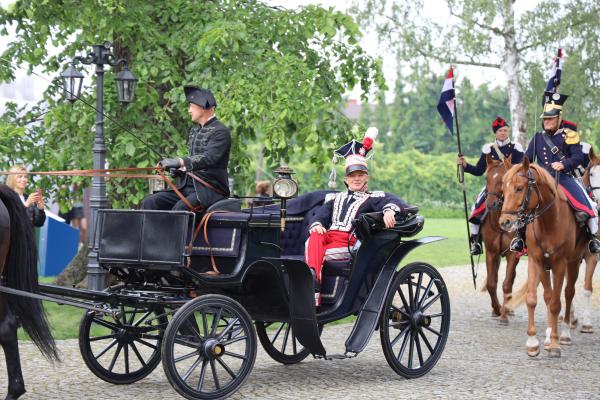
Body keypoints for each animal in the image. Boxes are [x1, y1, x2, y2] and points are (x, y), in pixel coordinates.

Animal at [496, 158, 584, 358]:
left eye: (519, 188)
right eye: (503, 189)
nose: (504, 222)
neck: (549, 221)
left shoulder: (560, 263)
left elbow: (556, 303)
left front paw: (555, 345)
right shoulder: (537, 261)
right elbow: (536, 299)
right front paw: (533, 342)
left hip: (573, 262)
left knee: (568, 293)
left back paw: (564, 334)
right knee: (550, 296)